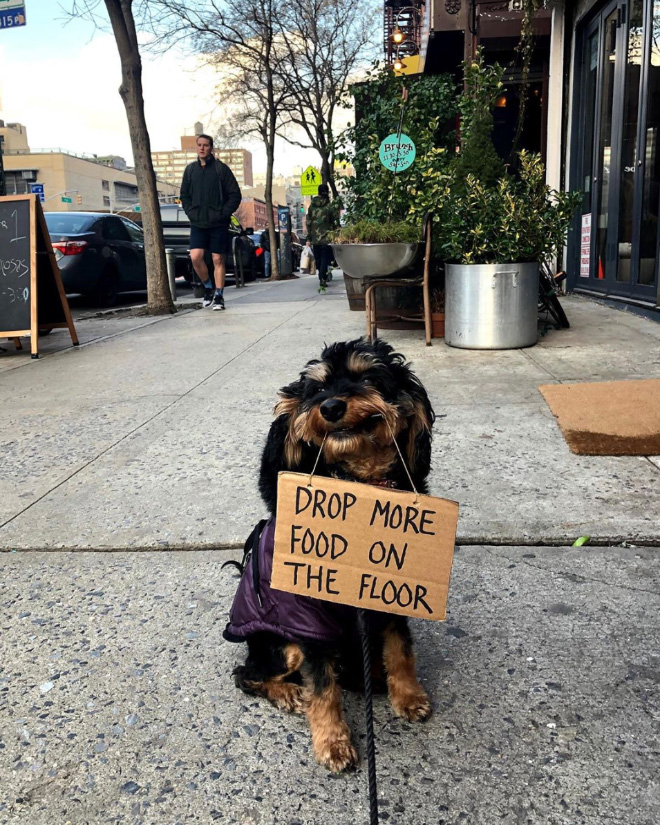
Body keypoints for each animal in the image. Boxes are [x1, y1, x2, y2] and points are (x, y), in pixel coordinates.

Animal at [224, 336, 436, 772]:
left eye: (369, 376)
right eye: (317, 389)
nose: (332, 407)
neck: (360, 485)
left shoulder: (390, 593)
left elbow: (401, 650)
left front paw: (408, 697)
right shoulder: (309, 621)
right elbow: (322, 688)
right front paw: (333, 743)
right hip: (281, 646)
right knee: (248, 674)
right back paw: (289, 693)